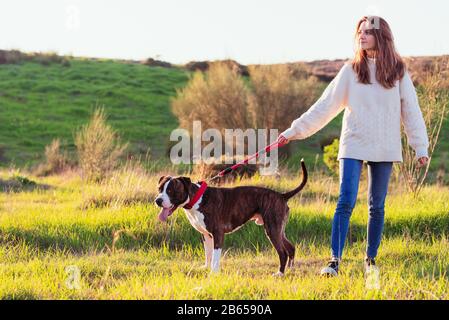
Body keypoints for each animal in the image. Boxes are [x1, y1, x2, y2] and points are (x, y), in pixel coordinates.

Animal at [155, 160, 308, 276]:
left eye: (171, 191)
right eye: (160, 189)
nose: (158, 200)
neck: (197, 198)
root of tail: (282, 195)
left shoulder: (218, 234)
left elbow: (215, 256)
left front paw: (214, 273)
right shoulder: (206, 235)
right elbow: (208, 253)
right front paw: (206, 268)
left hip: (272, 229)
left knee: (283, 252)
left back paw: (280, 273)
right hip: (278, 229)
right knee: (291, 248)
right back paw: (290, 269)